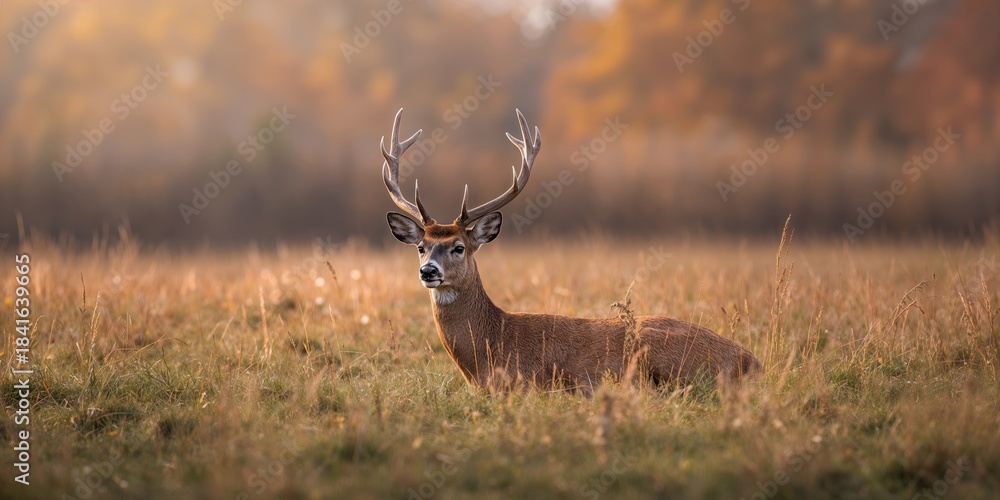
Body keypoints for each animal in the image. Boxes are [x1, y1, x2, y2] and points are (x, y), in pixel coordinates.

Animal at [380, 108, 761, 393]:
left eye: (458, 247)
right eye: (421, 247)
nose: (428, 271)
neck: (490, 349)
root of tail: (750, 361)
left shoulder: (528, 383)